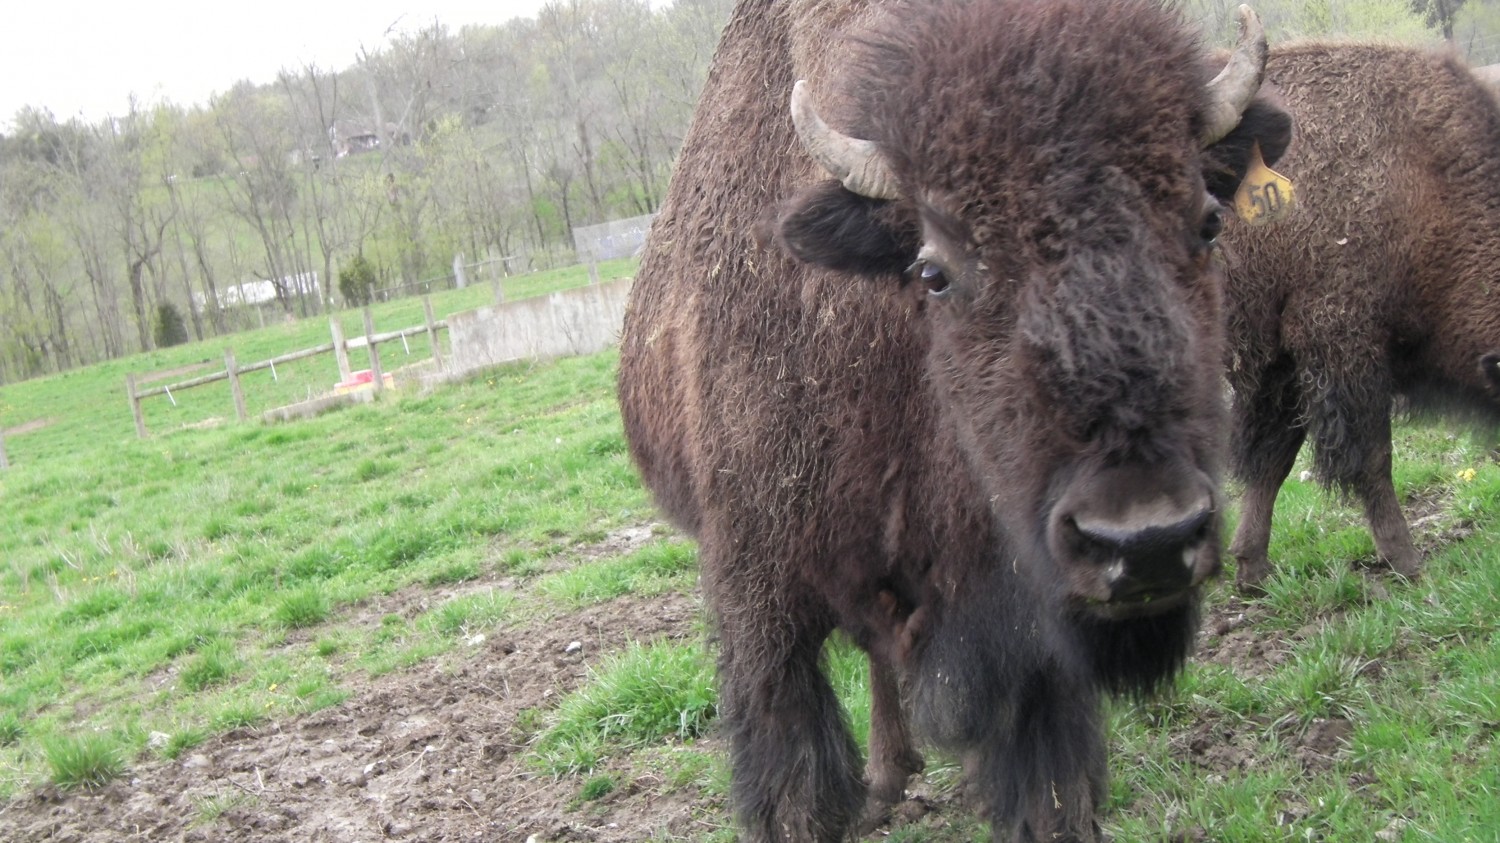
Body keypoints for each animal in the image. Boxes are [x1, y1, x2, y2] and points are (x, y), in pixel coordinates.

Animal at [618, 1, 1290, 840]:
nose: (1146, 539)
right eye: (934, 271)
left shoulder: (1027, 640)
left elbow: (1047, 791)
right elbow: (796, 785)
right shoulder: (762, 610)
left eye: (1207, 223)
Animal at [1218, 41, 1500, 591]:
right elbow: (1373, 457)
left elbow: (1272, 459)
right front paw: (1407, 561)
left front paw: (1251, 568)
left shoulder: (1283, 364)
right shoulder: (1341, 343)